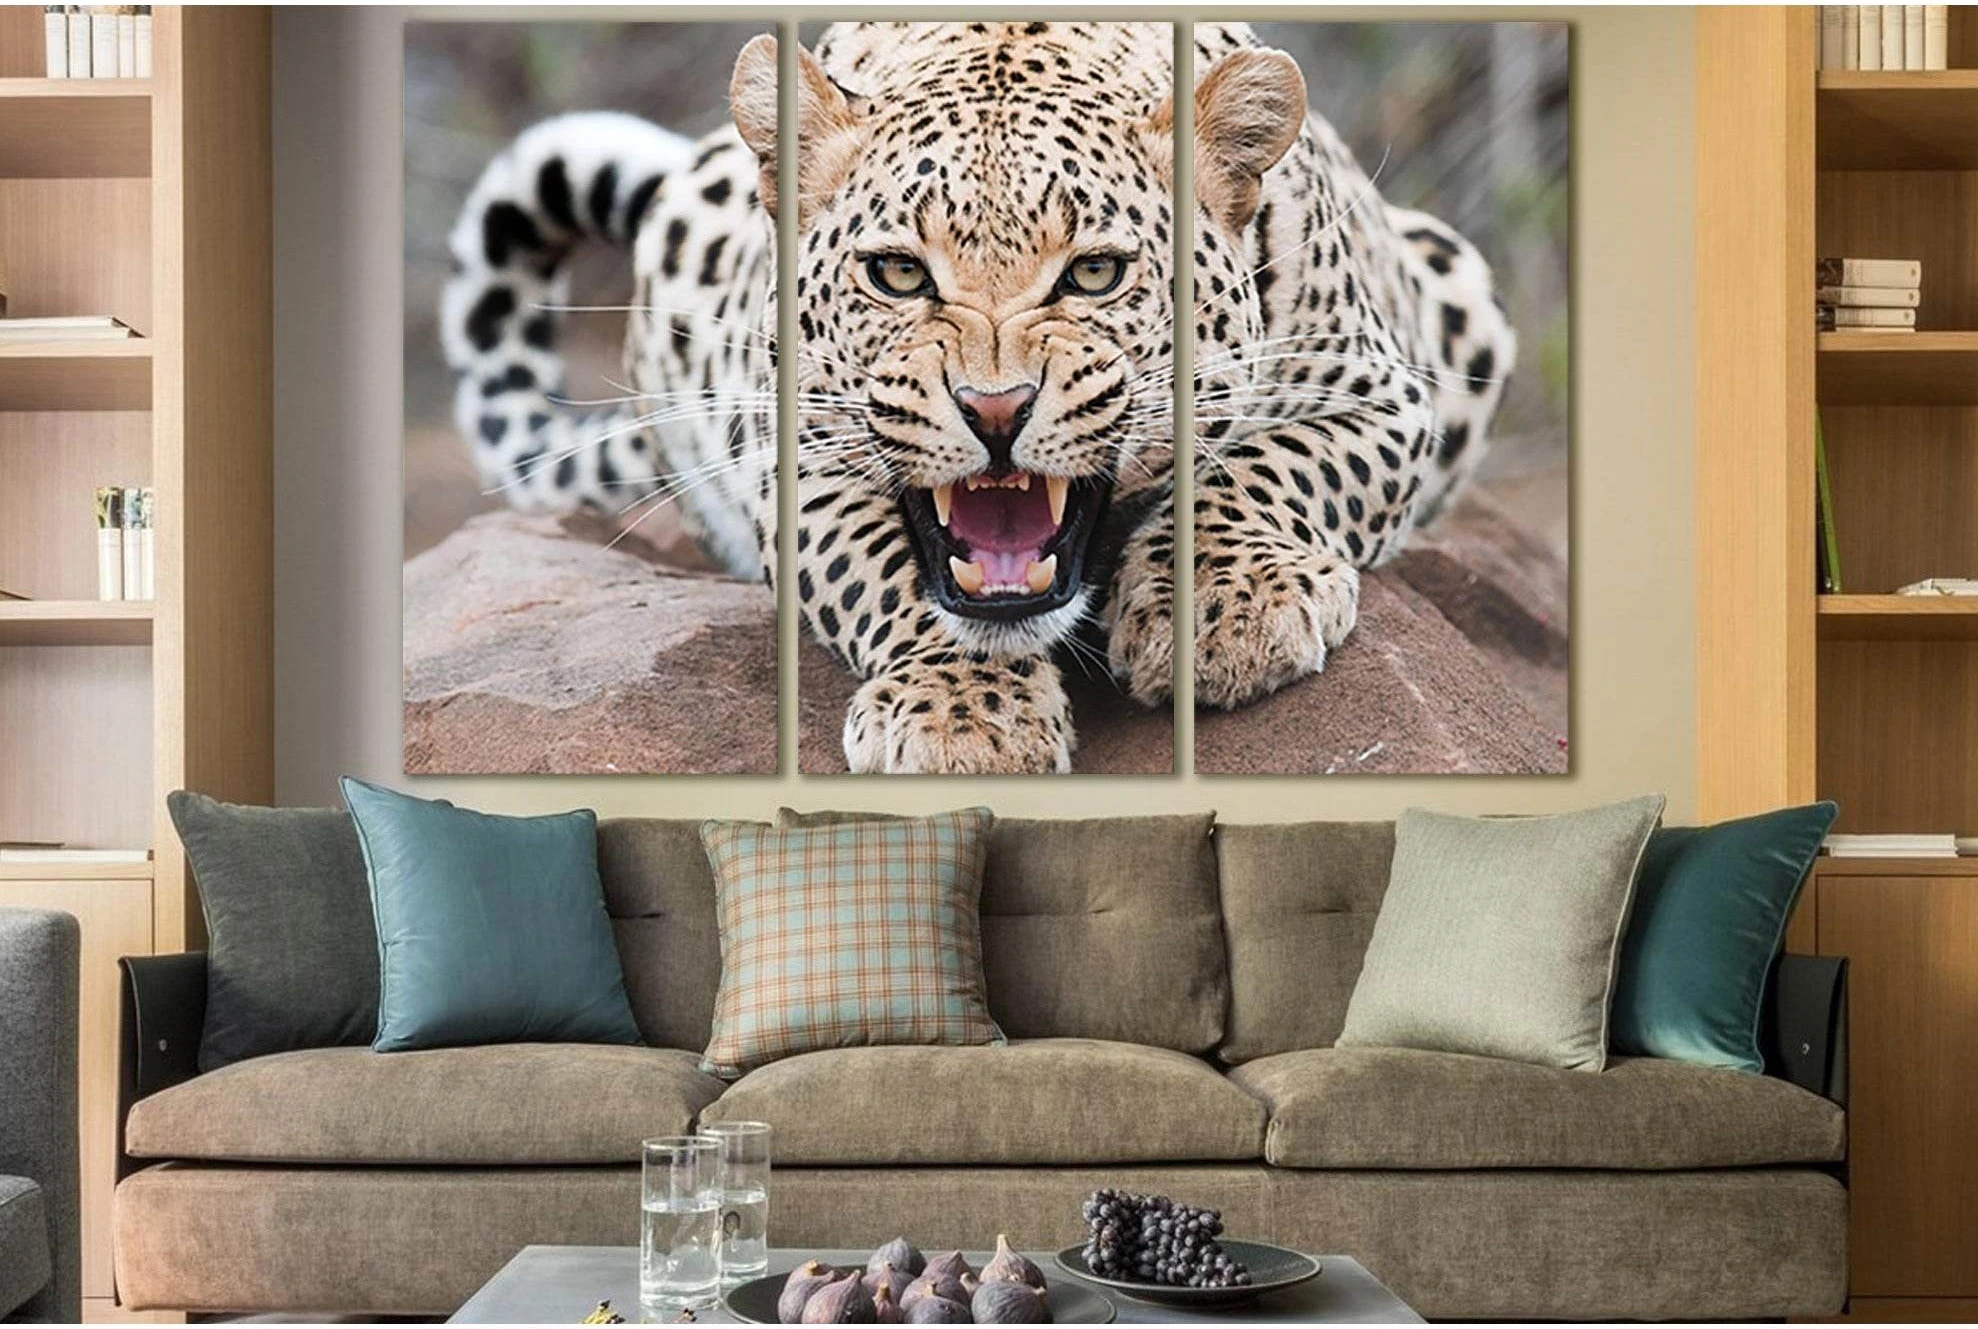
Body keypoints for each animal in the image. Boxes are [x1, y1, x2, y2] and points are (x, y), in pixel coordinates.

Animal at [439, 21, 1515, 774]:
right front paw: (962, 715)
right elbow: (882, 572)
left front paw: (1228, 608)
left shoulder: (1383, 393)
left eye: (1093, 274)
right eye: (898, 274)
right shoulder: (798, 455)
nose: (995, 410)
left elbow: (1268, 467)